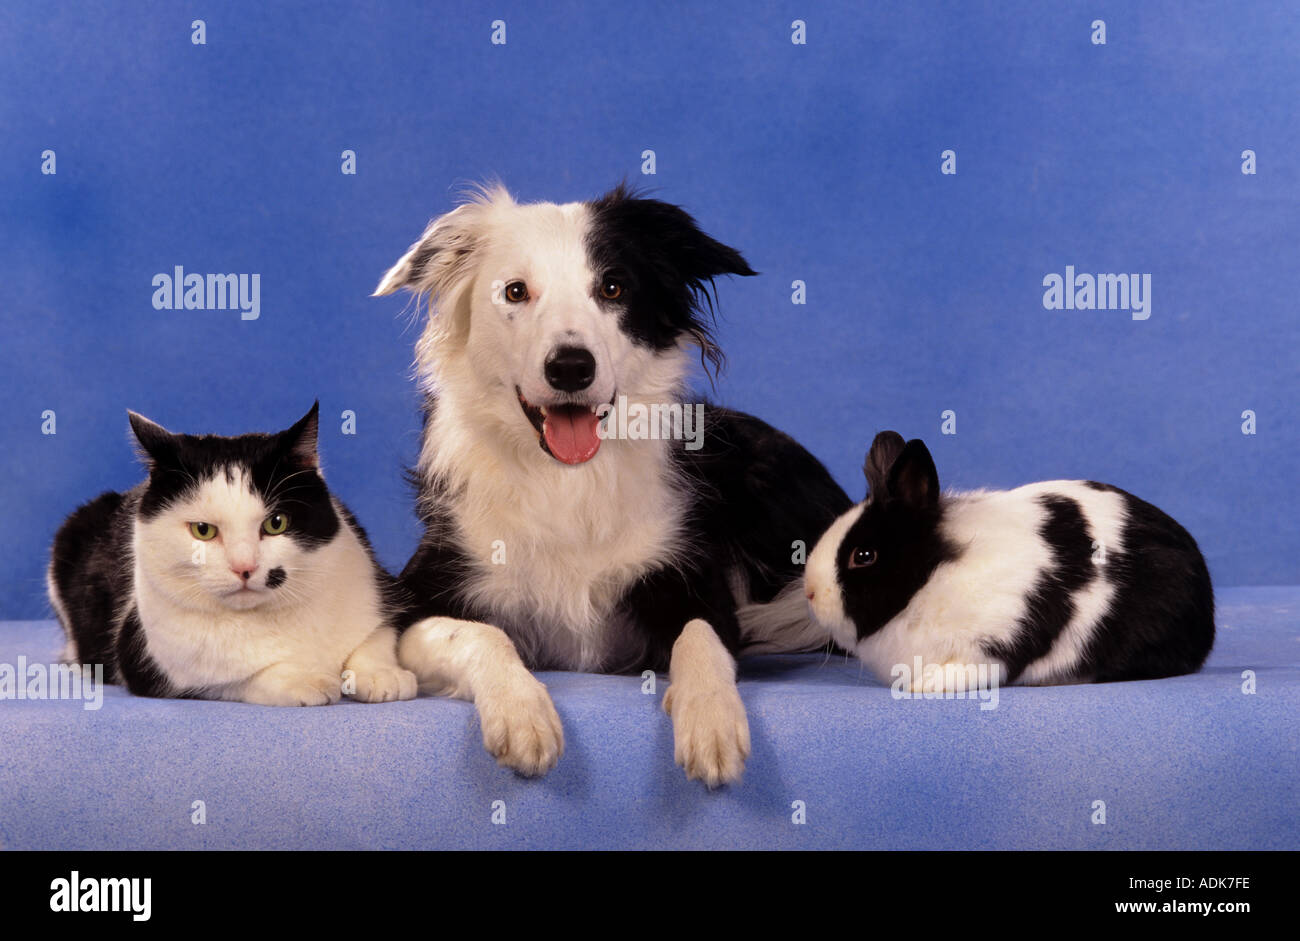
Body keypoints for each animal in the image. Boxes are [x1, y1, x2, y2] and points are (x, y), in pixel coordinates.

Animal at [48, 405, 413, 707]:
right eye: (203, 530)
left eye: (276, 523)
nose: (244, 567)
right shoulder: (152, 665)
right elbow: (240, 678)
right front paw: (301, 679)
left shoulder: (378, 586)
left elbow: (377, 636)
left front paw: (382, 674)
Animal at [371, 183, 847, 785]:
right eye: (515, 291)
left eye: (613, 287)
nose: (571, 367)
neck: (566, 479)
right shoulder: (414, 601)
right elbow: (482, 633)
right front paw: (522, 713)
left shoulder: (696, 586)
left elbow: (701, 637)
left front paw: (711, 718)